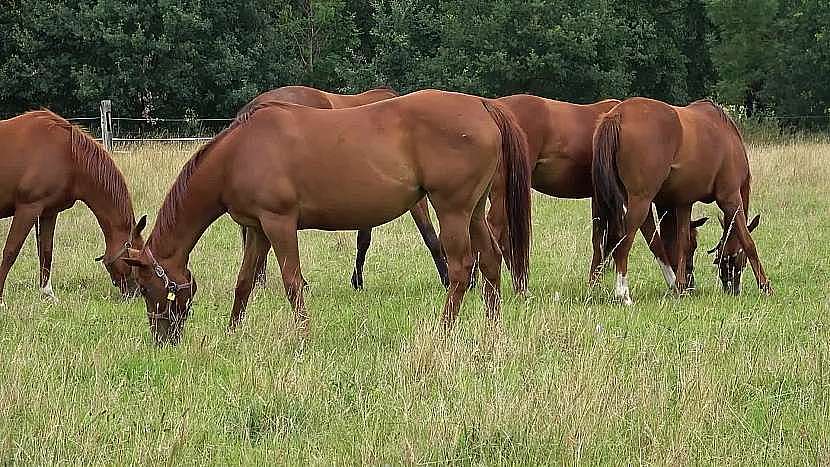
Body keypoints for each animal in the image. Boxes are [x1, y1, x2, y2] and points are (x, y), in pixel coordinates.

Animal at [0, 109, 146, 304]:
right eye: (135, 259)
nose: (136, 294)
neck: (69, 156)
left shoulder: (48, 213)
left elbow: (46, 252)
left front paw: (47, 294)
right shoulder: (28, 209)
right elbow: (10, 251)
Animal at [352, 94, 708, 292]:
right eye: (692, 244)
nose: (691, 279)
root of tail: (493, 111)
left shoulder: (602, 196)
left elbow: (605, 236)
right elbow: (629, 235)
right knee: (498, 230)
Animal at [592, 97, 772, 306]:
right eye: (731, 257)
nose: (730, 288)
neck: (728, 136)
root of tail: (618, 114)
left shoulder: (684, 202)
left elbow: (682, 242)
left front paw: (680, 287)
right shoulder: (730, 198)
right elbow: (748, 241)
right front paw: (765, 286)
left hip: (608, 202)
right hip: (639, 202)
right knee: (623, 242)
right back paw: (623, 294)